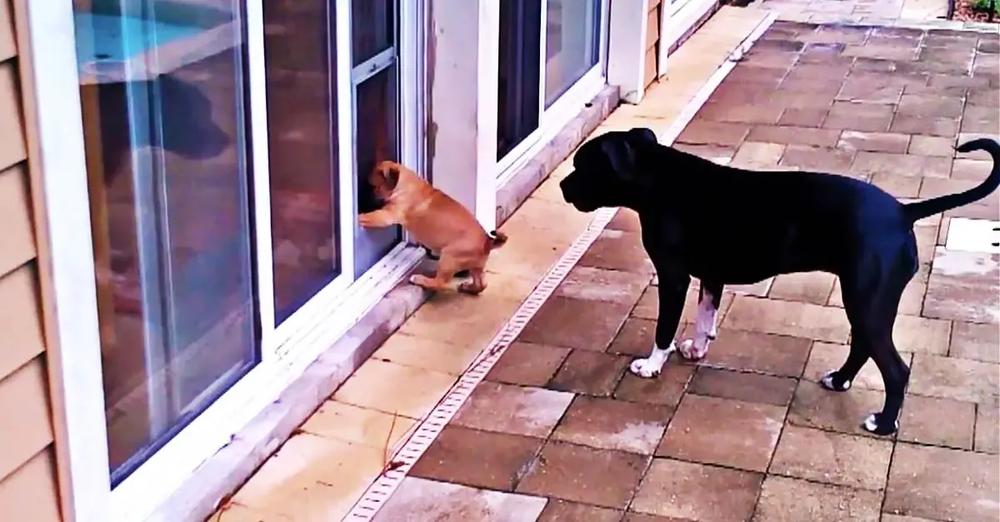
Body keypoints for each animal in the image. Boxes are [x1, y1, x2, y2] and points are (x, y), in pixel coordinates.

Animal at [360, 161, 508, 292]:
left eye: (374, 186)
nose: (370, 196)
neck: (405, 183)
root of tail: (486, 242)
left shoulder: (388, 215)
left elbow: (372, 217)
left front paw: (359, 217)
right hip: (475, 267)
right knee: (481, 284)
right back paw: (468, 288)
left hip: (448, 258)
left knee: (440, 282)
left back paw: (420, 280)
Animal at [564, 127, 1000, 434]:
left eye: (584, 166)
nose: (563, 186)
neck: (657, 176)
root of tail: (903, 213)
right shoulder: (711, 275)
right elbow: (705, 317)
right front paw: (697, 349)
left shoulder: (673, 278)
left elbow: (664, 328)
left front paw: (652, 365)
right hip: (865, 302)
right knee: (863, 346)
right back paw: (839, 380)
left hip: (867, 302)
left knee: (895, 370)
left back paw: (884, 423)